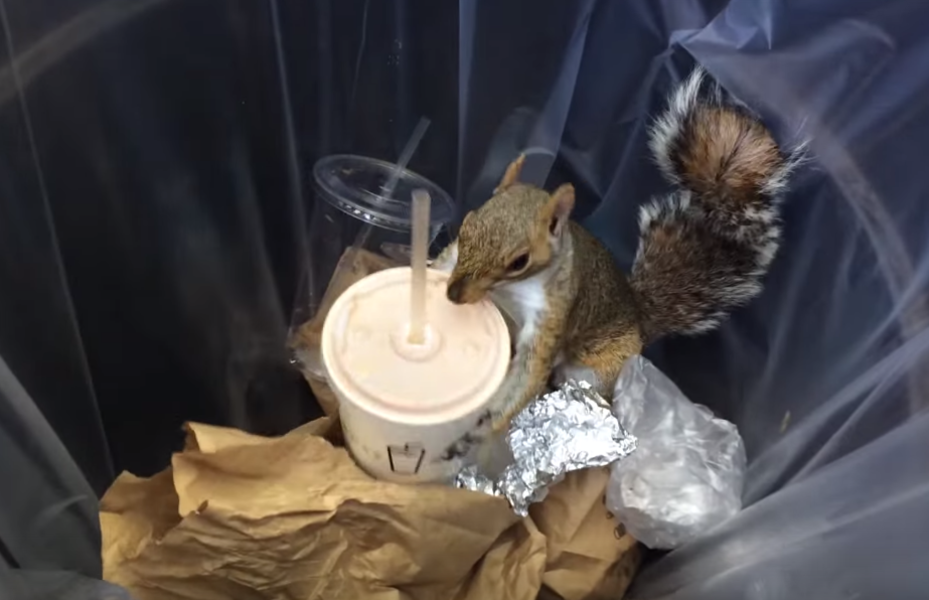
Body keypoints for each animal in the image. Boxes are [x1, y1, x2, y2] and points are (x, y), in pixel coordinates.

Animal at [432, 67, 804, 454]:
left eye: (520, 261)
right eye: (467, 224)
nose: (454, 294)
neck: (510, 291)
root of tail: (638, 319)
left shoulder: (553, 313)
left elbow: (528, 372)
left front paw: (480, 430)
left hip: (599, 367)